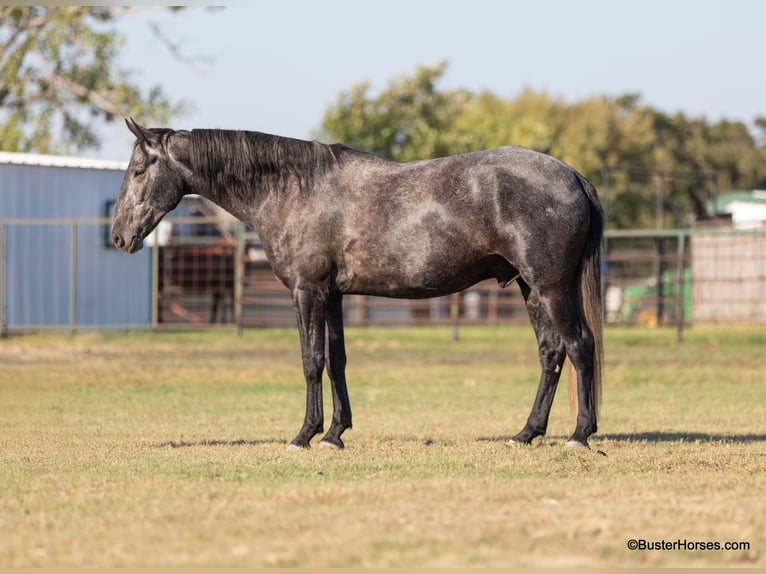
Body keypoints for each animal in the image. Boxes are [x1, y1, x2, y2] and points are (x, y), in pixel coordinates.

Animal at [111, 118, 604, 451]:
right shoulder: (332, 296)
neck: (294, 189)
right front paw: (335, 433)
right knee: (551, 352)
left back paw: (579, 434)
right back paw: (526, 433)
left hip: (551, 287)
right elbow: (337, 361)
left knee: (579, 346)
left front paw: (304, 435)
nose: (118, 236)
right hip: (529, 288)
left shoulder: (307, 292)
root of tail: (572, 175)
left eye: (138, 170)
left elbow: (311, 361)